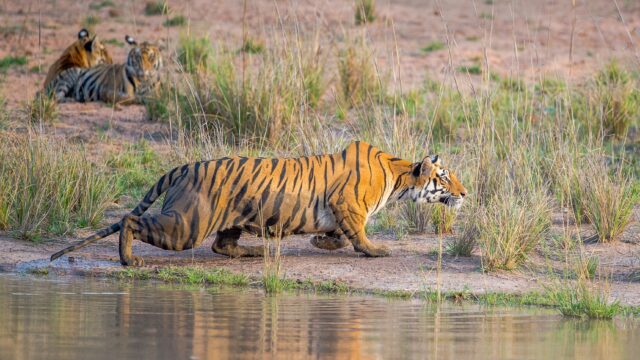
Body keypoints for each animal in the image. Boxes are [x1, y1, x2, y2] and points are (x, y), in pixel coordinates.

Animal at [50, 142, 468, 266]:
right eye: (445, 176)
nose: (464, 193)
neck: (399, 177)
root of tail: (185, 165)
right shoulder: (347, 204)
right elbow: (358, 233)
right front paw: (375, 250)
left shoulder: (337, 209)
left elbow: (337, 232)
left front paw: (322, 242)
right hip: (187, 224)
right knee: (129, 221)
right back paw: (128, 259)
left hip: (229, 219)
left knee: (222, 245)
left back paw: (253, 252)